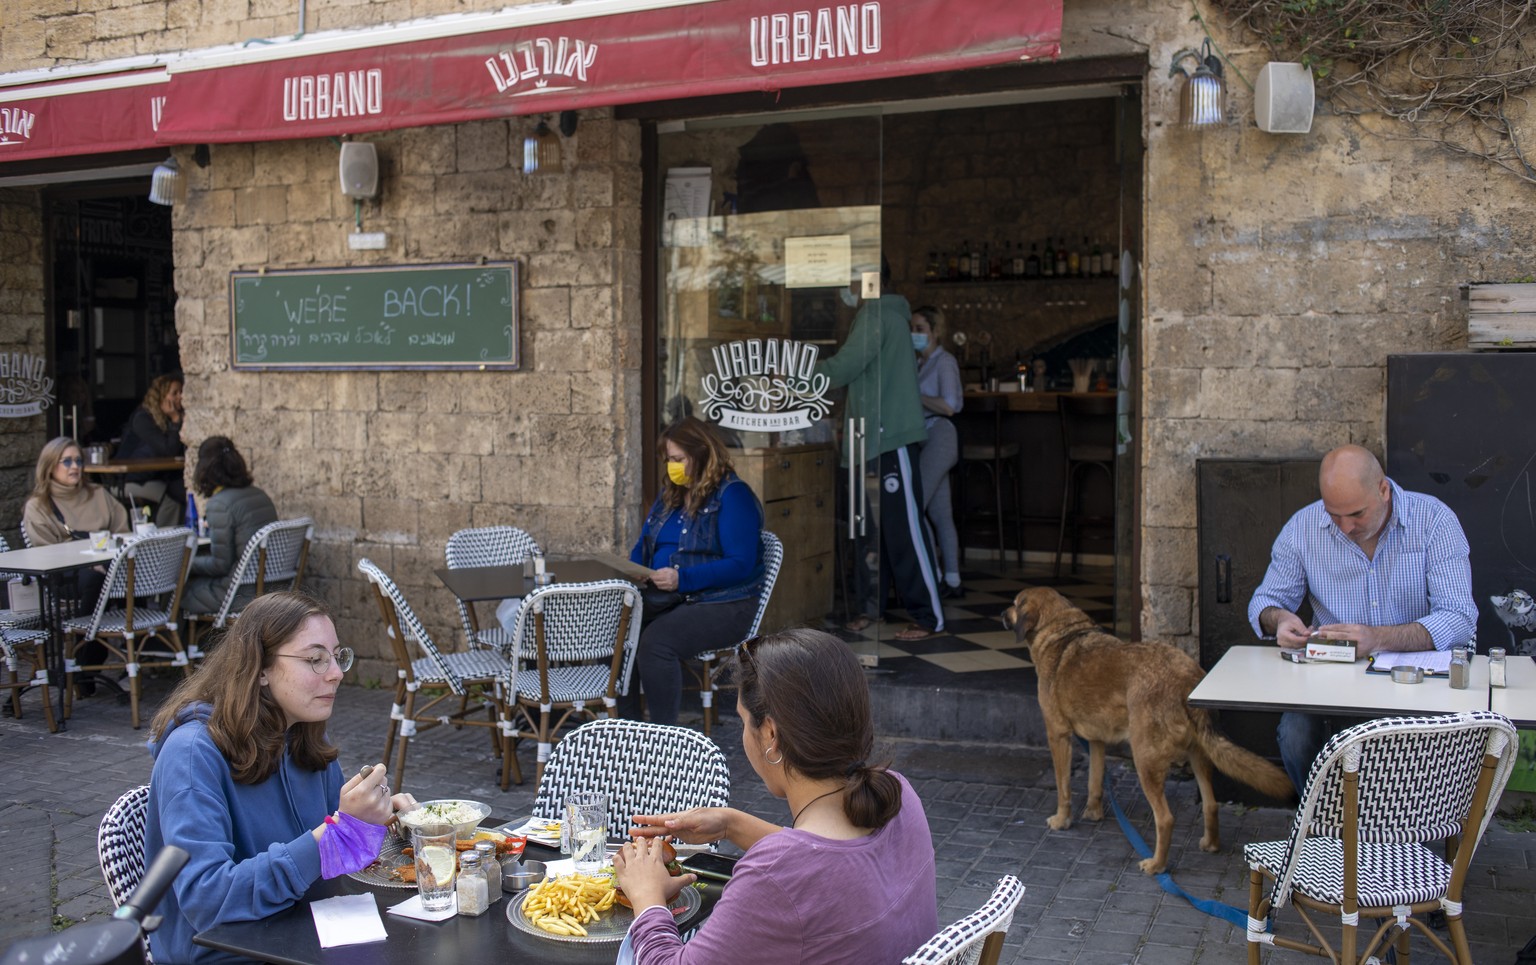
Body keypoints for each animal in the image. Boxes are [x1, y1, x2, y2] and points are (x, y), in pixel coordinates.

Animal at [1001, 586, 1290, 872]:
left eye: (1015, 603)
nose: (1002, 613)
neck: (1060, 631)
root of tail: (1187, 680)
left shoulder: (1058, 734)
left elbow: (1063, 788)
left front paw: (1062, 820)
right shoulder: (1097, 740)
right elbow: (1095, 780)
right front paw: (1093, 813)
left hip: (1144, 760)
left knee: (1165, 818)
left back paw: (1156, 865)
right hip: (1199, 755)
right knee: (1210, 804)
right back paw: (1210, 844)